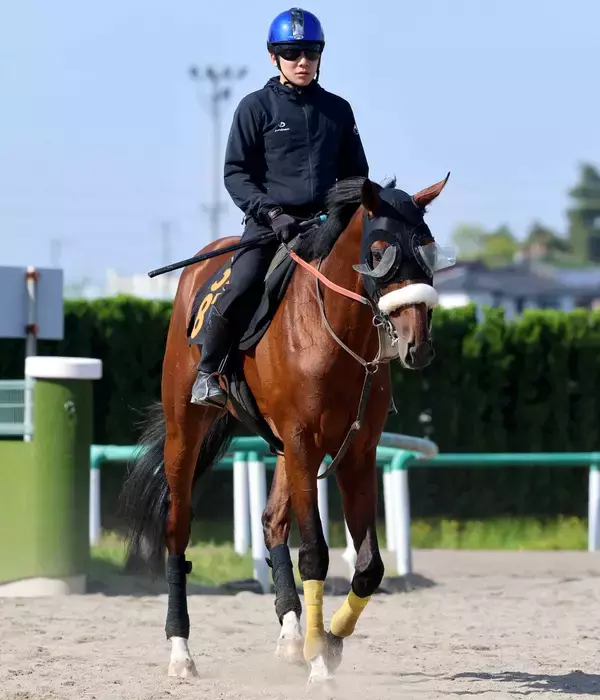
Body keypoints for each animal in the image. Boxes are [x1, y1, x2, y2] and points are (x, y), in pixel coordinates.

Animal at [120, 172, 451, 686]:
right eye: (379, 251)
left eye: (428, 249)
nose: (418, 345)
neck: (333, 332)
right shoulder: (302, 443)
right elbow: (314, 551)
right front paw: (320, 658)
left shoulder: (355, 453)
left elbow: (369, 567)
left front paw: (328, 641)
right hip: (185, 432)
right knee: (178, 530)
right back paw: (181, 652)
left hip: (280, 449)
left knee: (273, 522)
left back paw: (293, 636)